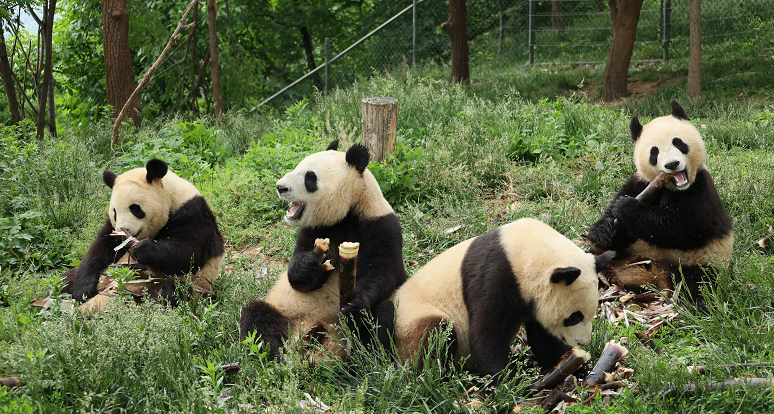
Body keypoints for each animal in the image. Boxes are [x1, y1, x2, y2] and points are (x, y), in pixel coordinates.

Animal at [241, 139, 412, 360]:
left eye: (310, 177)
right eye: (297, 167)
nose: (281, 187)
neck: (348, 212)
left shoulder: (382, 226)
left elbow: (383, 273)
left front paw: (354, 305)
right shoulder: (313, 229)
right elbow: (296, 276)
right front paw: (312, 264)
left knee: (379, 317)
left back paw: (363, 358)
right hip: (286, 311)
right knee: (257, 319)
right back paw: (276, 357)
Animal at [392, 218, 616, 380]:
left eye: (591, 314)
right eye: (574, 317)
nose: (583, 342)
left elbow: (543, 335)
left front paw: (573, 366)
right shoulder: (494, 276)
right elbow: (486, 331)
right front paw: (508, 380)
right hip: (413, 320)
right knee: (433, 337)